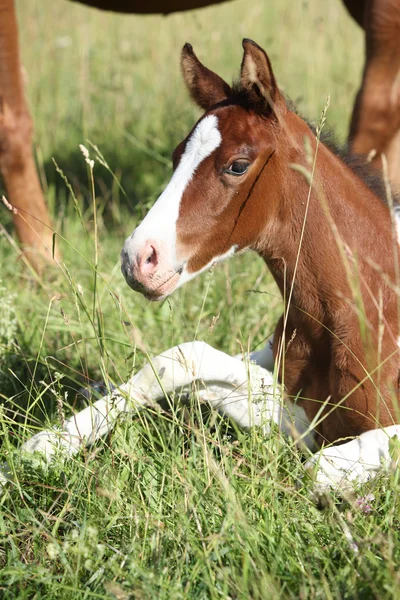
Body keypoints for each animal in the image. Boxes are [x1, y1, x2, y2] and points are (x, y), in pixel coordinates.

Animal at [122, 37, 400, 448]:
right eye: (176, 157)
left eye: (237, 165)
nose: (137, 258)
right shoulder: (304, 417)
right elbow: (181, 359)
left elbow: (322, 466)